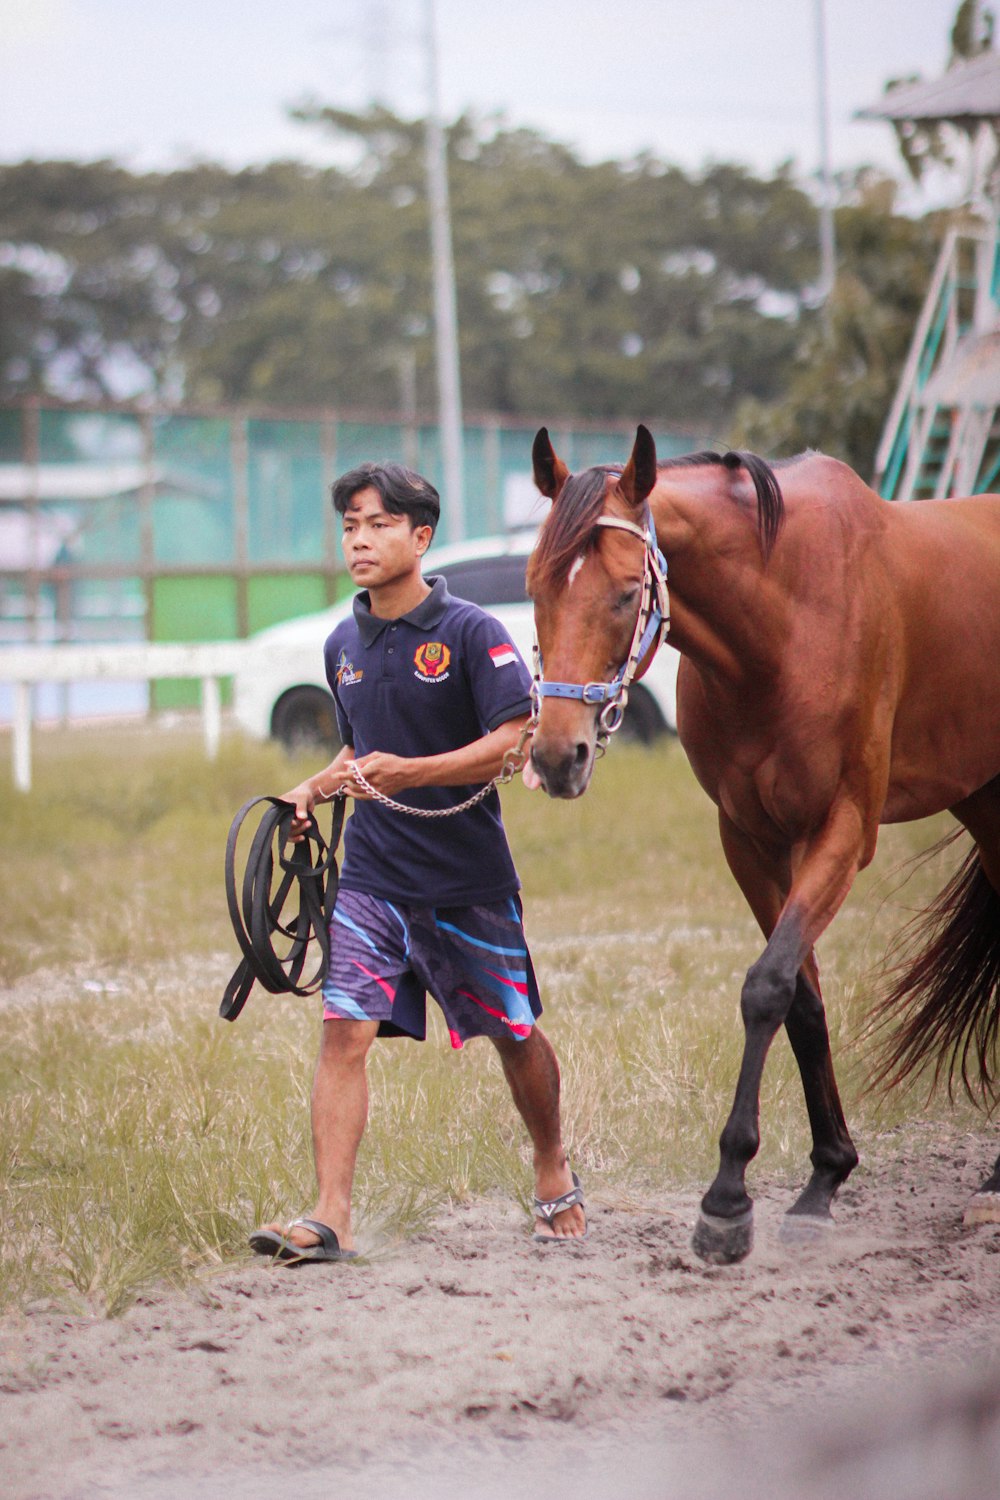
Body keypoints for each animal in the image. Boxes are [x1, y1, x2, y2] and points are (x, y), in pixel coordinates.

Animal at [524, 426, 1000, 1266]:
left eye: (625, 594)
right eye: (535, 589)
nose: (557, 755)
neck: (782, 626)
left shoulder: (841, 830)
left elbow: (767, 985)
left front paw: (726, 1200)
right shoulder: (749, 839)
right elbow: (801, 997)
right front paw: (823, 1179)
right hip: (983, 794)